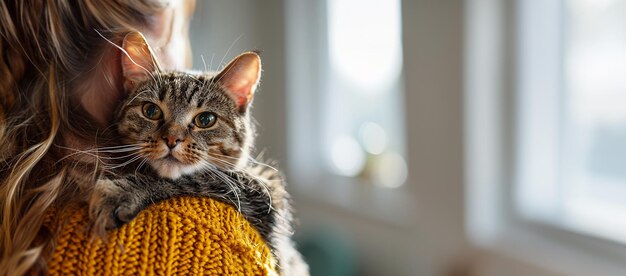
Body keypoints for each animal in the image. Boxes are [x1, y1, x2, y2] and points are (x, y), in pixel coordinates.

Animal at [87, 31, 308, 274]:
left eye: (205, 119)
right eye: (151, 111)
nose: (171, 139)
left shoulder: (264, 192)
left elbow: (193, 178)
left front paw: (122, 191)